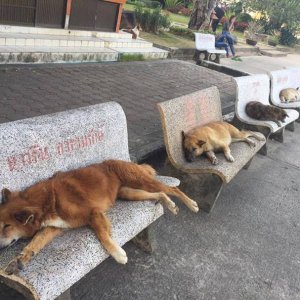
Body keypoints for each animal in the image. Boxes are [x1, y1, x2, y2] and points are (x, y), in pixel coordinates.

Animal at [0, 159, 199, 274]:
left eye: (6, 226)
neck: (44, 201)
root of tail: (125, 160)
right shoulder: (54, 226)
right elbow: (36, 242)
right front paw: (20, 259)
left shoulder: (93, 213)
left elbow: (103, 235)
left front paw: (118, 254)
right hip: (129, 193)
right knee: (160, 193)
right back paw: (169, 203)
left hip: (140, 182)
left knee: (171, 189)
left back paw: (191, 204)